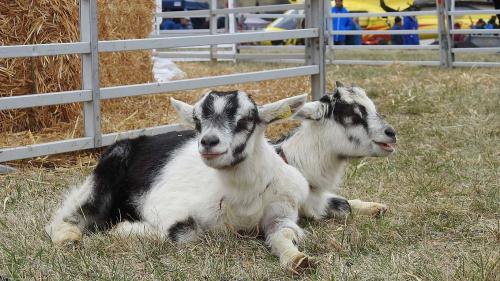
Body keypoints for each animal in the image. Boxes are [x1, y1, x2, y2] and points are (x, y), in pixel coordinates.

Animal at [46, 91, 312, 270]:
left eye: (247, 119)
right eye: (197, 121)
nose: (208, 142)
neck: (241, 201)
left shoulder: (282, 213)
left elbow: (284, 234)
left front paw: (297, 259)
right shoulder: (166, 208)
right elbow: (184, 232)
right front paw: (126, 229)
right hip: (105, 175)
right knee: (70, 214)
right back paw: (68, 237)